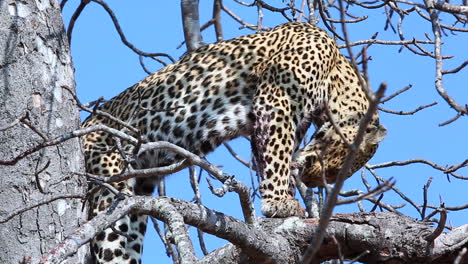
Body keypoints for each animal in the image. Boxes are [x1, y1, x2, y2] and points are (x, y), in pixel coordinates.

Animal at [82, 21, 386, 262]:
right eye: (337, 169)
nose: (311, 182)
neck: (337, 75)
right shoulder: (277, 100)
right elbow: (278, 155)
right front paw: (279, 204)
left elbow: (271, 158)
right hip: (109, 180)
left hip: (137, 196)